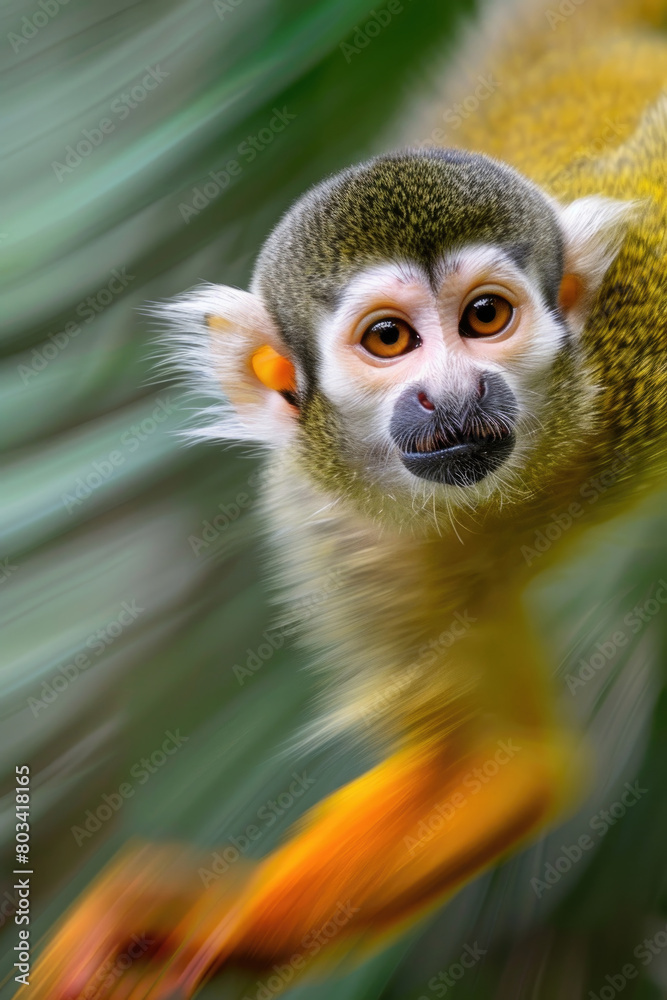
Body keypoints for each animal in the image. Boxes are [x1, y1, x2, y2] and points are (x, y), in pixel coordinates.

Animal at [21, 0, 667, 996]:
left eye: (485, 317)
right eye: (389, 339)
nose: (453, 394)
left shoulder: (642, 316)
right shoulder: (340, 528)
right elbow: (497, 764)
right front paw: (220, 921)